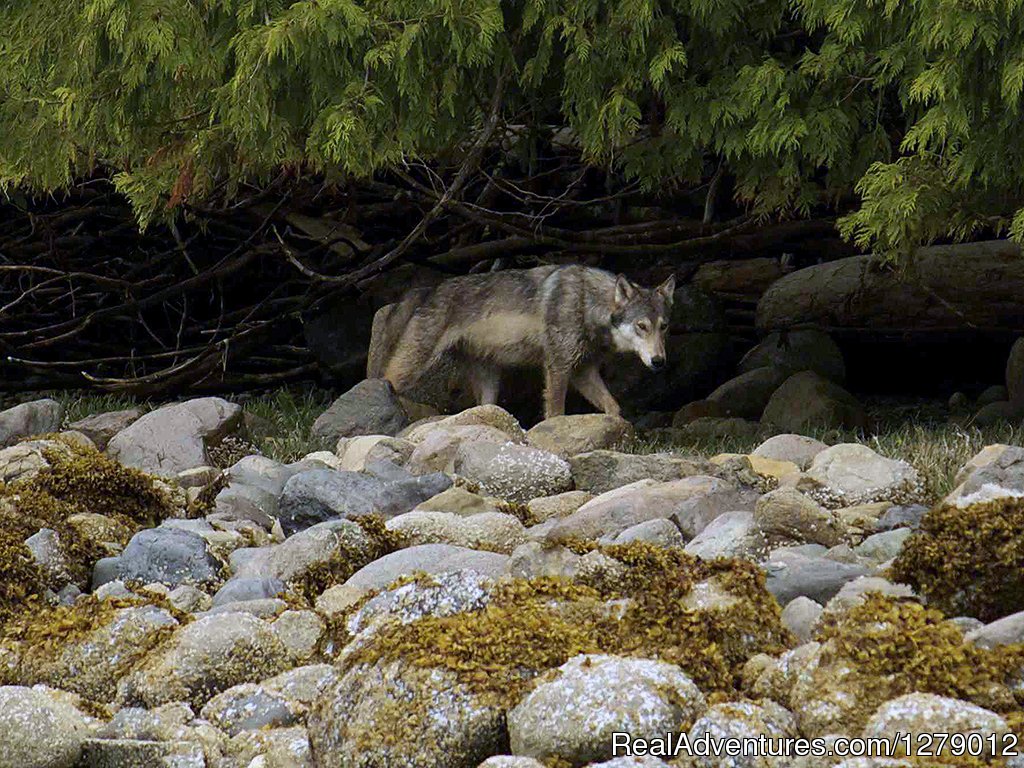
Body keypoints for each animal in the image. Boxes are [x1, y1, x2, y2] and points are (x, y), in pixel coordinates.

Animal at [366, 266, 671, 421]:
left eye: (663, 326)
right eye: (642, 326)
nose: (659, 362)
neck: (586, 302)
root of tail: (429, 290)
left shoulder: (583, 372)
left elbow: (613, 408)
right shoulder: (558, 366)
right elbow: (556, 412)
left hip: (490, 383)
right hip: (412, 367)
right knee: (384, 380)